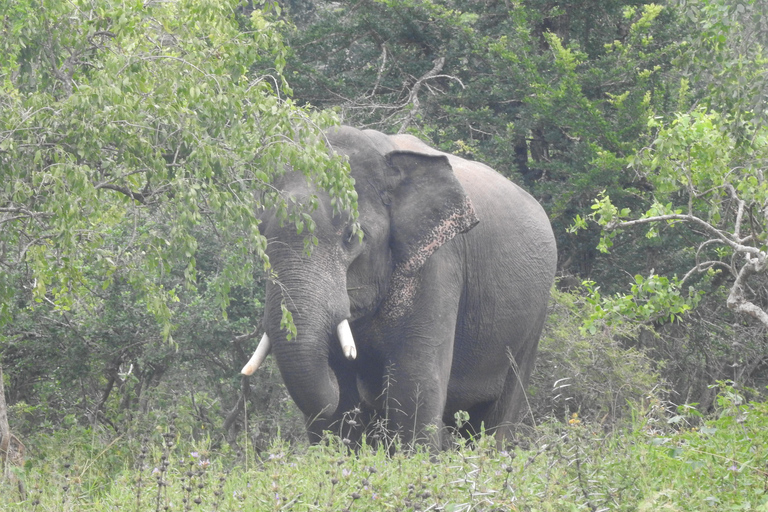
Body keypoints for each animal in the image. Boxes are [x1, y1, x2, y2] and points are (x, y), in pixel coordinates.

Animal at [242, 126, 557, 449]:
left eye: (351, 236)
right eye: (259, 236)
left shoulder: (437, 264)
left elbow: (413, 383)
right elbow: (338, 410)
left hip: (533, 319)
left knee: (500, 412)